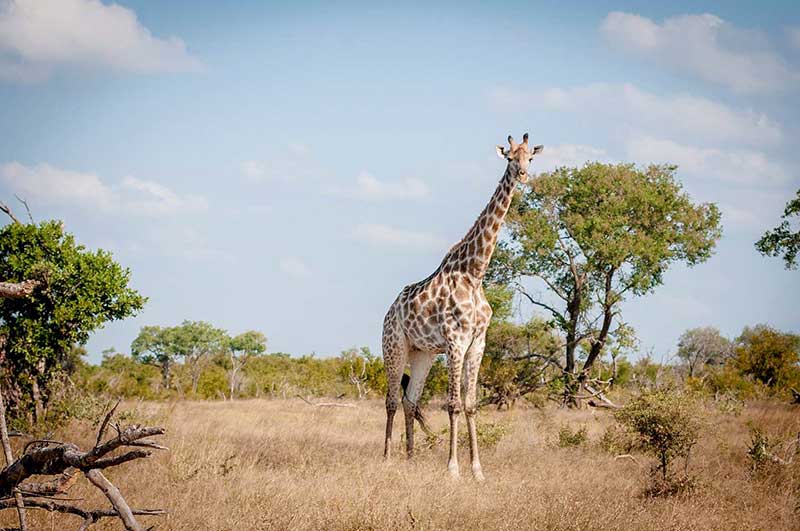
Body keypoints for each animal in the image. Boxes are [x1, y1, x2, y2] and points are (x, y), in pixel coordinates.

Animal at [382, 134, 544, 482]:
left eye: (530, 158)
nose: (523, 175)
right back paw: (387, 458)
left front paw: (478, 470)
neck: (475, 272)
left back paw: (410, 458)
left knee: (410, 401)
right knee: (391, 400)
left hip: (423, 353)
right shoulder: (455, 341)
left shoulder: (477, 342)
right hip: (394, 345)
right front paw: (453, 469)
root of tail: (390, 310)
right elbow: (453, 404)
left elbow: (470, 404)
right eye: (510, 158)